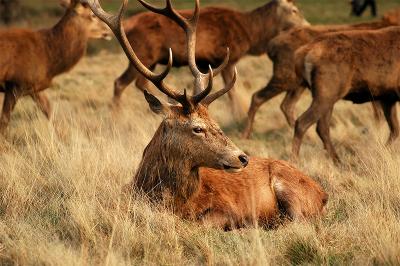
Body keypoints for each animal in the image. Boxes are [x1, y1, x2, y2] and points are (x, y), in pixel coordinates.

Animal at [0, 0, 111, 133]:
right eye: (93, 15)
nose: (108, 30)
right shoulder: (14, 83)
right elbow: (4, 121)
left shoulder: (34, 86)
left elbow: (50, 112)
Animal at [111, 0, 308, 118]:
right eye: (294, 10)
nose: (307, 25)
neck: (251, 35)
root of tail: (127, 24)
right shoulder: (228, 58)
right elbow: (231, 91)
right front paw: (237, 114)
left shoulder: (205, 64)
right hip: (143, 55)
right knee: (120, 82)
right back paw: (117, 115)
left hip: (150, 61)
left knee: (140, 83)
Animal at [241, 11, 400, 139]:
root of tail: (271, 46)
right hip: (285, 77)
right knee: (258, 97)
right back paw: (245, 134)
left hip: (299, 84)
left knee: (286, 105)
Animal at [292, 26, 400, 161]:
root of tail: (301, 54)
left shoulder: (388, 97)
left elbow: (395, 129)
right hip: (327, 91)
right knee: (302, 123)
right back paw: (295, 160)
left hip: (327, 96)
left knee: (321, 127)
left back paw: (337, 160)